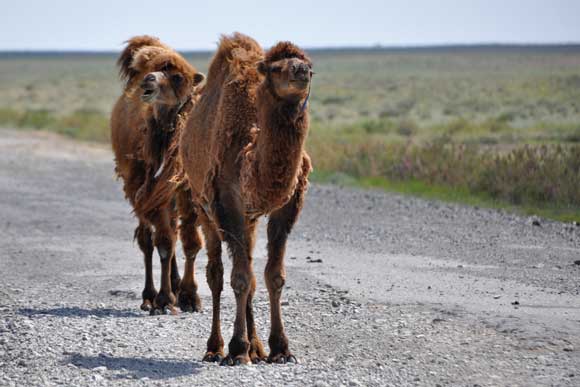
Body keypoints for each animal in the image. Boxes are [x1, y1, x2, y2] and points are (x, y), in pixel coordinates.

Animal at [109, 35, 206, 316]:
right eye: (152, 72)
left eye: (178, 77)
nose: (148, 80)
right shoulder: (149, 189)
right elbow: (163, 243)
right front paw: (164, 300)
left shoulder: (186, 187)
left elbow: (190, 242)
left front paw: (189, 297)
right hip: (137, 186)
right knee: (147, 239)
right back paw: (149, 297)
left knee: (172, 231)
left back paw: (175, 284)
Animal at [179, 34, 312, 366]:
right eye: (275, 68)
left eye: (309, 64)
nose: (301, 71)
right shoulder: (227, 203)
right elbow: (238, 278)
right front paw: (237, 349)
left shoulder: (288, 204)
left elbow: (272, 276)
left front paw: (280, 348)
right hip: (202, 206)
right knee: (216, 273)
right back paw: (216, 347)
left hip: (248, 219)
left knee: (251, 274)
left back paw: (257, 347)